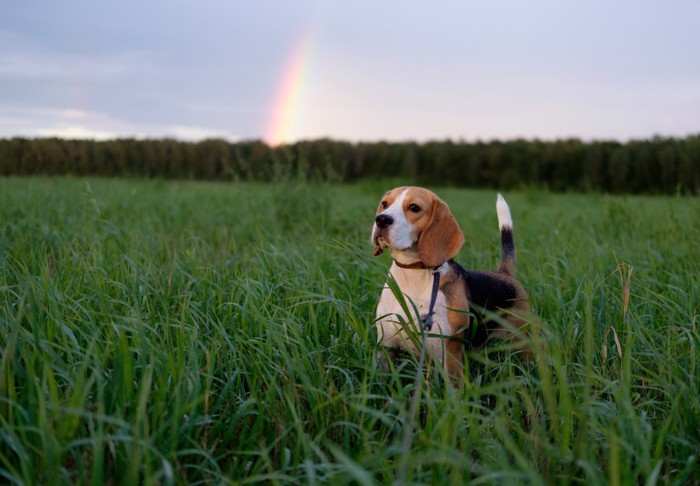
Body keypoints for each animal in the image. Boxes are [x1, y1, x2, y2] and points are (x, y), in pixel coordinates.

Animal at [372, 186, 532, 384]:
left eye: (414, 207)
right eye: (385, 204)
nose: (381, 219)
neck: (413, 274)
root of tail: (504, 274)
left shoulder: (449, 352)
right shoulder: (385, 347)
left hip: (523, 341)